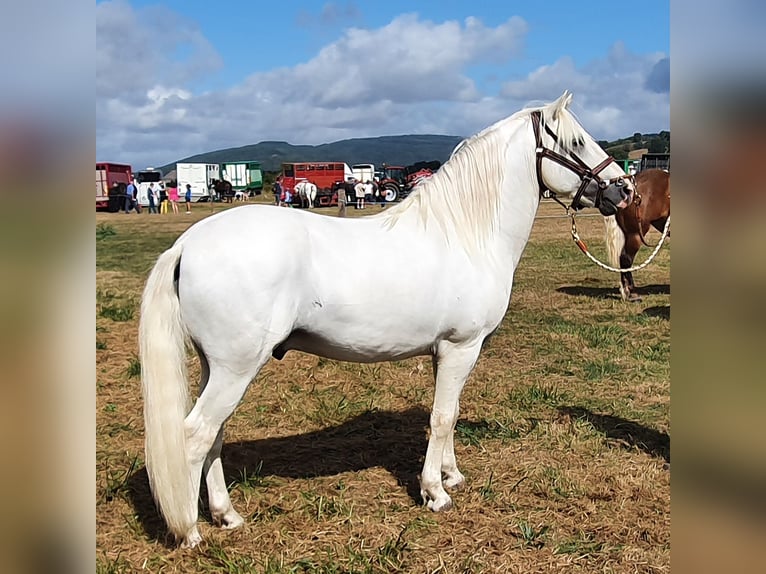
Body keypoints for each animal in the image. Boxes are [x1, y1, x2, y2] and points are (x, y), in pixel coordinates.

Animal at [140, 91, 636, 548]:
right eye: (576, 140)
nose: (624, 190)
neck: (466, 234)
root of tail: (188, 243)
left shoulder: (446, 352)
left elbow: (448, 412)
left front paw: (450, 475)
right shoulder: (462, 347)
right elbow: (442, 417)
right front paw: (435, 492)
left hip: (218, 368)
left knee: (214, 435)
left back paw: (226, 515)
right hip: (236, 368)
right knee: (194, 435)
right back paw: (190, 532)